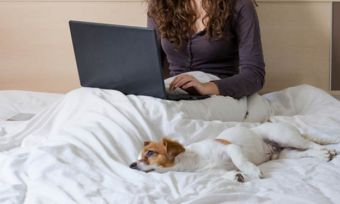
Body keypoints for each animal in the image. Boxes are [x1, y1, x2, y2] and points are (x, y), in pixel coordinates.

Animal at [129, 122, 338, 182]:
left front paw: (252, 171)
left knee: (310, 144)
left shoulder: (230, 148)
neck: (192, 160)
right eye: (138, 156)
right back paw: (322, 155)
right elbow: (223, 173)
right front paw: (235, 176)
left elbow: (240, 161)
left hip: (284, 137)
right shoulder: (213, 171)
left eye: (149, 153)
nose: (131, 165)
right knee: (305, 152)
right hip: (288, 152)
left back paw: (326, 150)